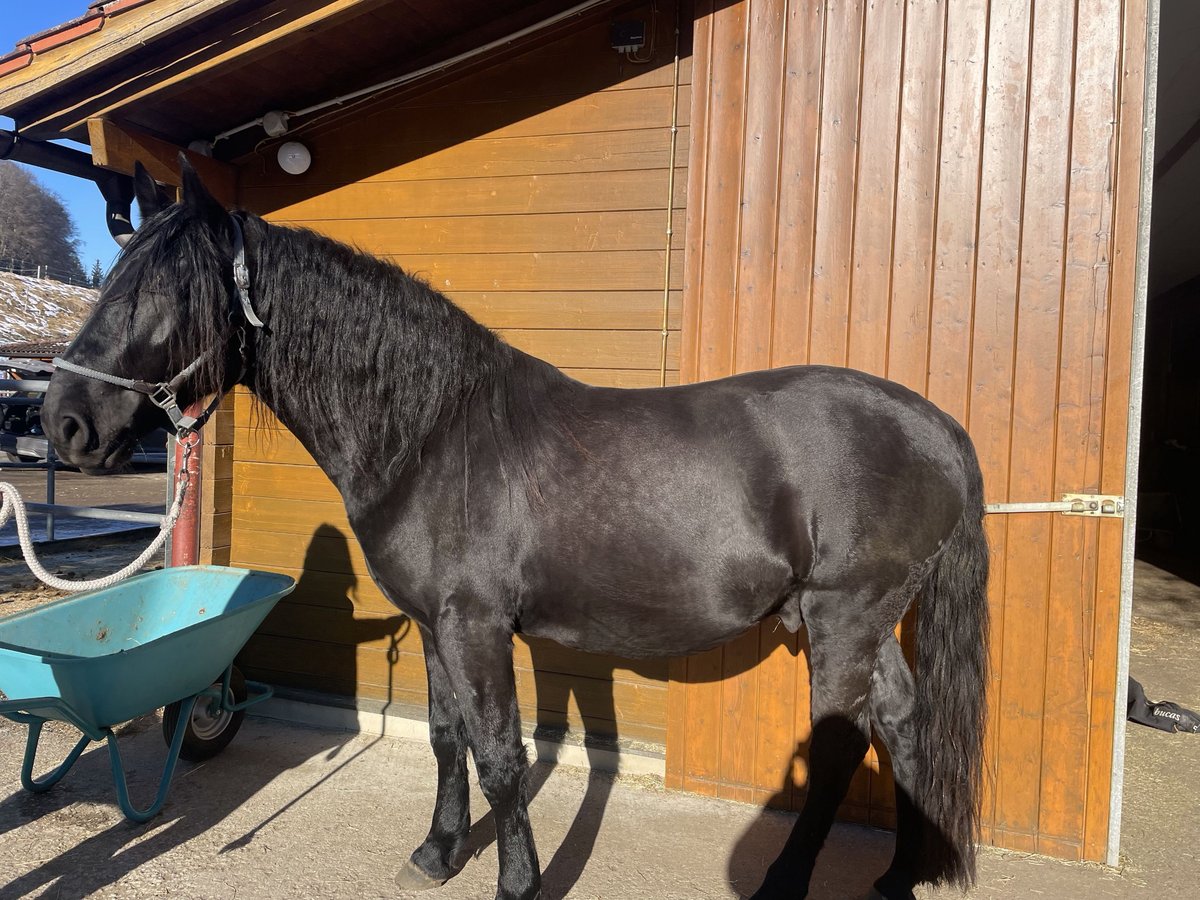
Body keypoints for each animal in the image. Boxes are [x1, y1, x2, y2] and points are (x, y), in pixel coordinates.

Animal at [42, 162, 988, 900]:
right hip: (865, 624)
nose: (66, 423)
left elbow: (501, 755)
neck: (430, 431)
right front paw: (436, 851)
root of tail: (937, 424)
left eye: (158, 291)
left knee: (838, 752)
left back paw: (787, 883)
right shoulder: (433, 627)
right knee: (904, 722)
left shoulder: (477, 626)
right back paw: (898, 876)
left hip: (843, 619)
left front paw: (516, 882)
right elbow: (447, 737)